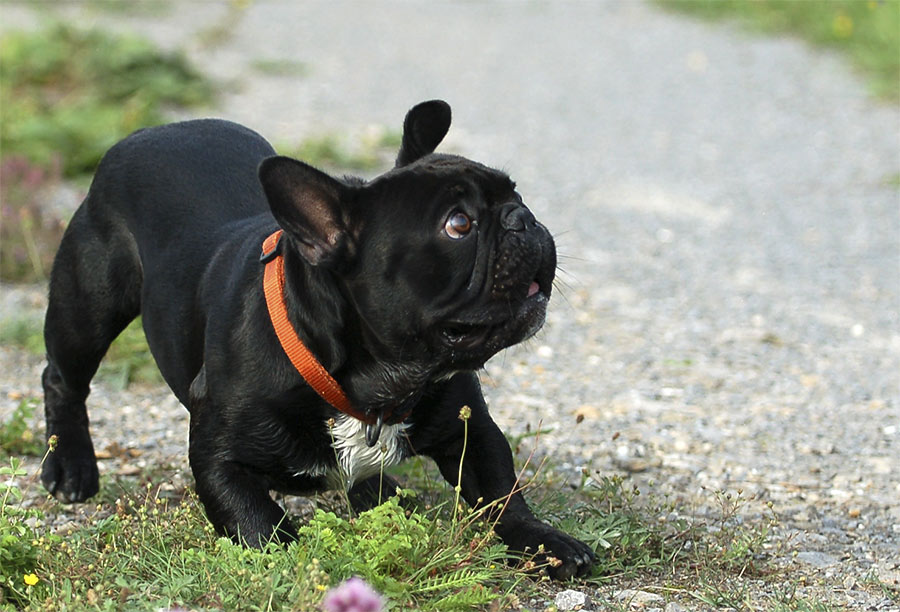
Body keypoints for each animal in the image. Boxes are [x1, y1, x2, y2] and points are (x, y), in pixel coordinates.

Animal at [42, 99, 596, 580]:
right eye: (458, 224)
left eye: (516, 194)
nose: (522, 217)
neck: (378, 379)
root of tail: (153, 132)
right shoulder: (218, 457)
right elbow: (255, 519)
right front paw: (294, 559)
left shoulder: (472, 430)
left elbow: (502, 492)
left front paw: (546, 541)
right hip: (88, 304)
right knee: (63, 379)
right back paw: (69, 468)